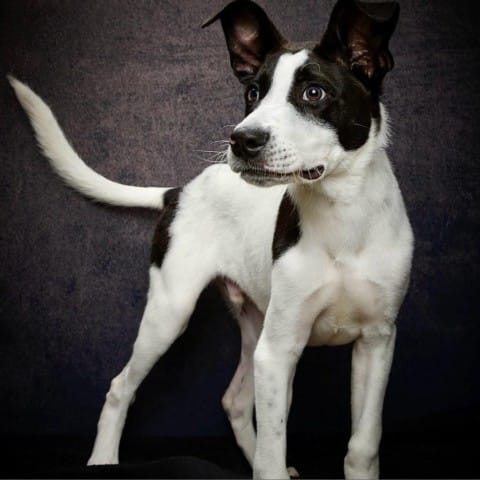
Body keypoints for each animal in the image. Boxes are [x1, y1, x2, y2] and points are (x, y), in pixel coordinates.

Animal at [8, 0, 412, 478]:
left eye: (314, 93)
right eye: (253, 93)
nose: (242, 139)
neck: (341, 216)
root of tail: (179, 191)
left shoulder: (377, 343)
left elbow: (363, 445)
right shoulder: (279, 351)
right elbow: (273, 454)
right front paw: (270, 464)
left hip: (254, 327)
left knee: (235, 401)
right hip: (172, 311)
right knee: (121, 386)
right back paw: (103, 458)